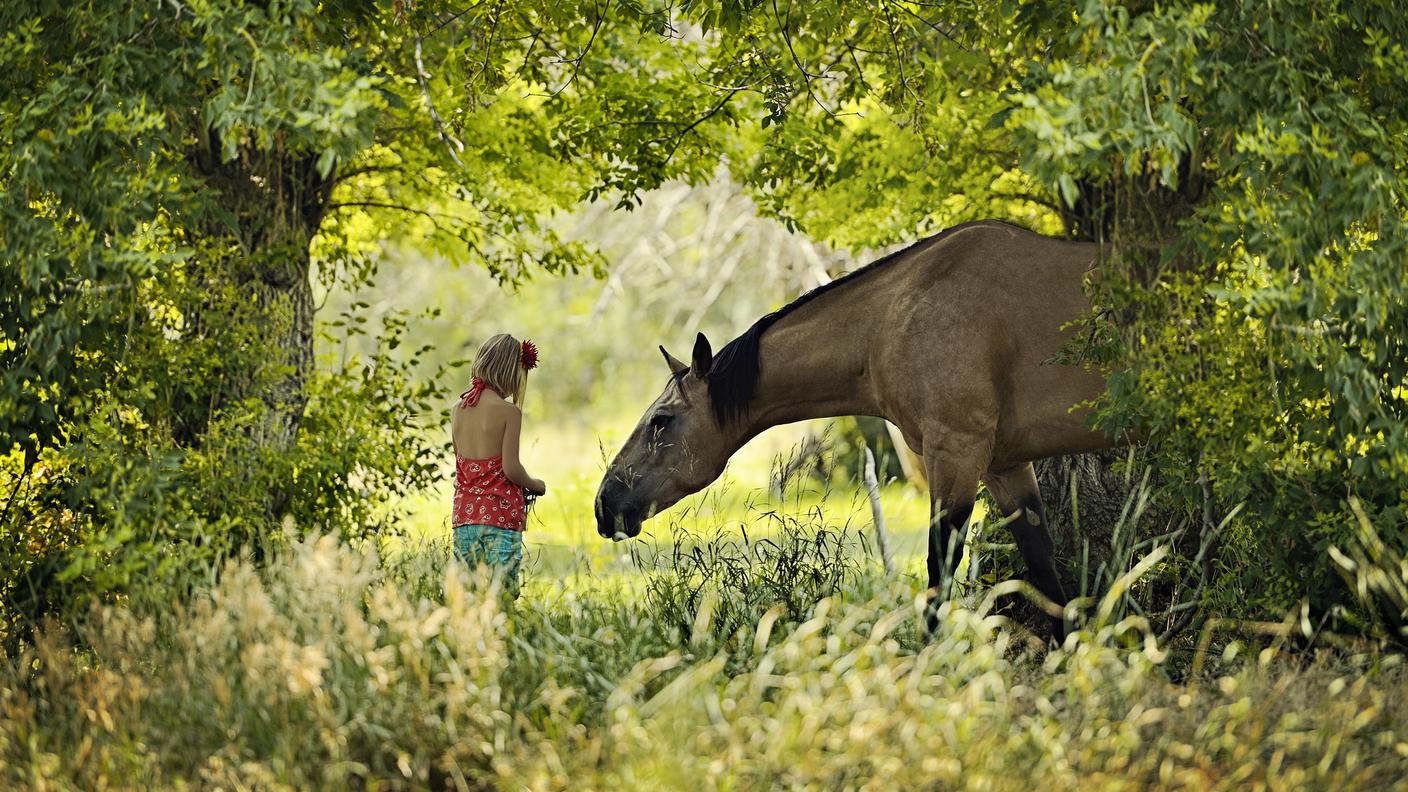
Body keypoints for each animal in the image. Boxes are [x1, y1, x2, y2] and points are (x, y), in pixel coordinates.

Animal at [594, 218, 1120, 631]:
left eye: (661, 421)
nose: (605, 504)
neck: (895, 319)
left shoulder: (956, 451)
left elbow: (939, 569)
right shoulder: (1002, 465)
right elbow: (1044, 568)